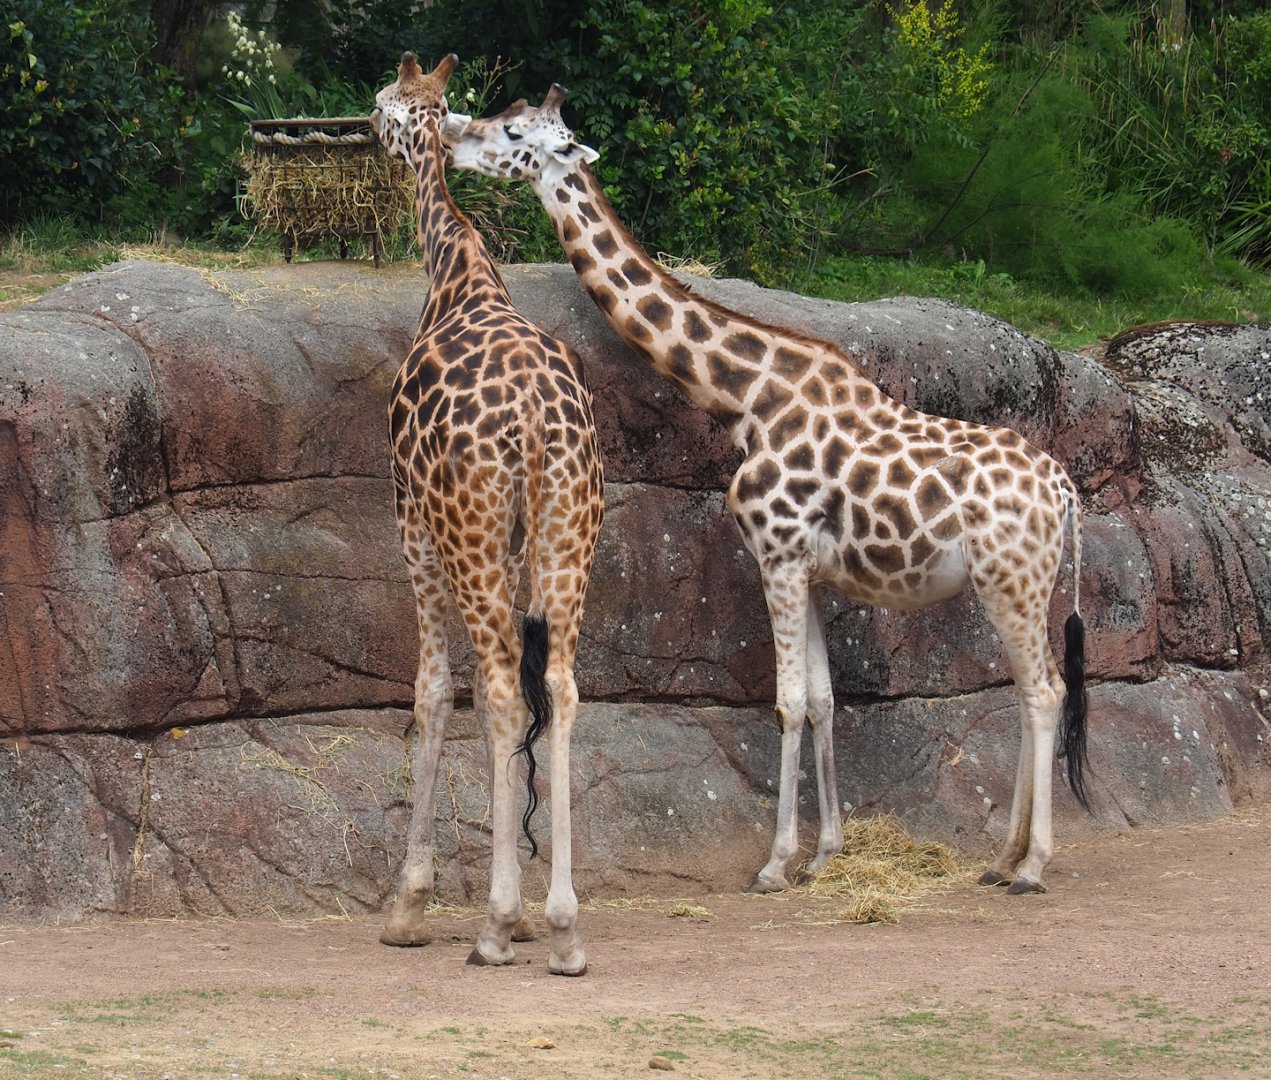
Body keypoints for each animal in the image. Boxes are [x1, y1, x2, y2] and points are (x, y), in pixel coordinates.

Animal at [369, 56, 603, 974]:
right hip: (568, 532)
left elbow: (435, 691)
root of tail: (535, 416)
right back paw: (564, 928)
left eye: (386, 104)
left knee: (504, 687)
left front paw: (408, 904)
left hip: (465, 532)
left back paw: (497, 925)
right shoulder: (506, 543)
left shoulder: (413, 525)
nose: (368, 124)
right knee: (561, 687)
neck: (458, 271)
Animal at [448, 87, 1090, 895]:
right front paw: (824, 851)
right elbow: (820, 700)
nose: (451, 135)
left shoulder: (777, 556)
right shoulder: (808, 569)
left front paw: (776, 862)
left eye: (510, 131)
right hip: (1014, 581)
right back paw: (1001, 858)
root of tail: (1064, 489)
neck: (747, 397)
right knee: (1029, 692)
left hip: (1012, 578)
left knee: (1044, 692)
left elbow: (785, 703)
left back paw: (1030, 865)